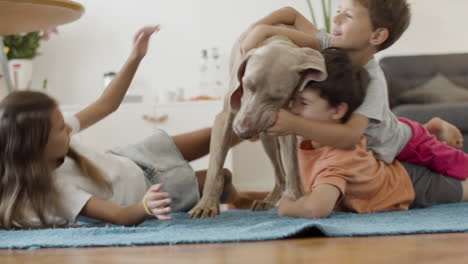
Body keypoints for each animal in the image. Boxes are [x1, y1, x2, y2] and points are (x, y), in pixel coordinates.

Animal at [189, 34, 326, 218]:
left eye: (277, 97)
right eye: (247, 84)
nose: (242, 131)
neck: (279, 40)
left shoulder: (287, 120)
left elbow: (292, 164)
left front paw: (296, 199)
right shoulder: (225, 116)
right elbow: (215, 167)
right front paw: (207, 204)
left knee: (283, 175)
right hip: (266, 138)